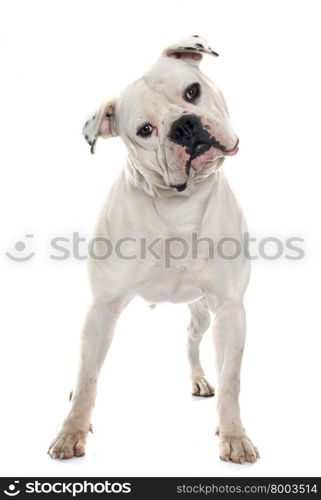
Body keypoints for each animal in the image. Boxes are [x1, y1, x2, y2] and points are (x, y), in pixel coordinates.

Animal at [47, 36, 258, 464]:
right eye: (145, 130)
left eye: (192, 92)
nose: (184, 125)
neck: (179, 207)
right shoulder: (103, 308)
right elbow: (88, 376)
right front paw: (71, 431)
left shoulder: (230, 309)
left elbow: (231, 379)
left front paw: (233, 436)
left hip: (203, 314)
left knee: (193, 343)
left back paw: (200, 379)